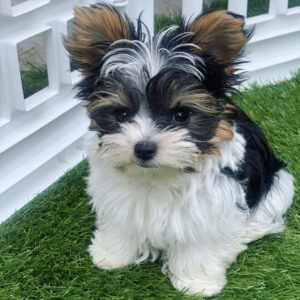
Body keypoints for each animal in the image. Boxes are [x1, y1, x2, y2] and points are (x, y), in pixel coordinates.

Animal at [65, 3, 292, 296]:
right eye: (122, 114)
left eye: (181, 115)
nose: (144, 148)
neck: (158, 175)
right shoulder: (117, 194)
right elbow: (122, 221)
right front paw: (112, 255)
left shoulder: (209, 206)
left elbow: (200, 243)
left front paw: (197, 282)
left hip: (279, 181)